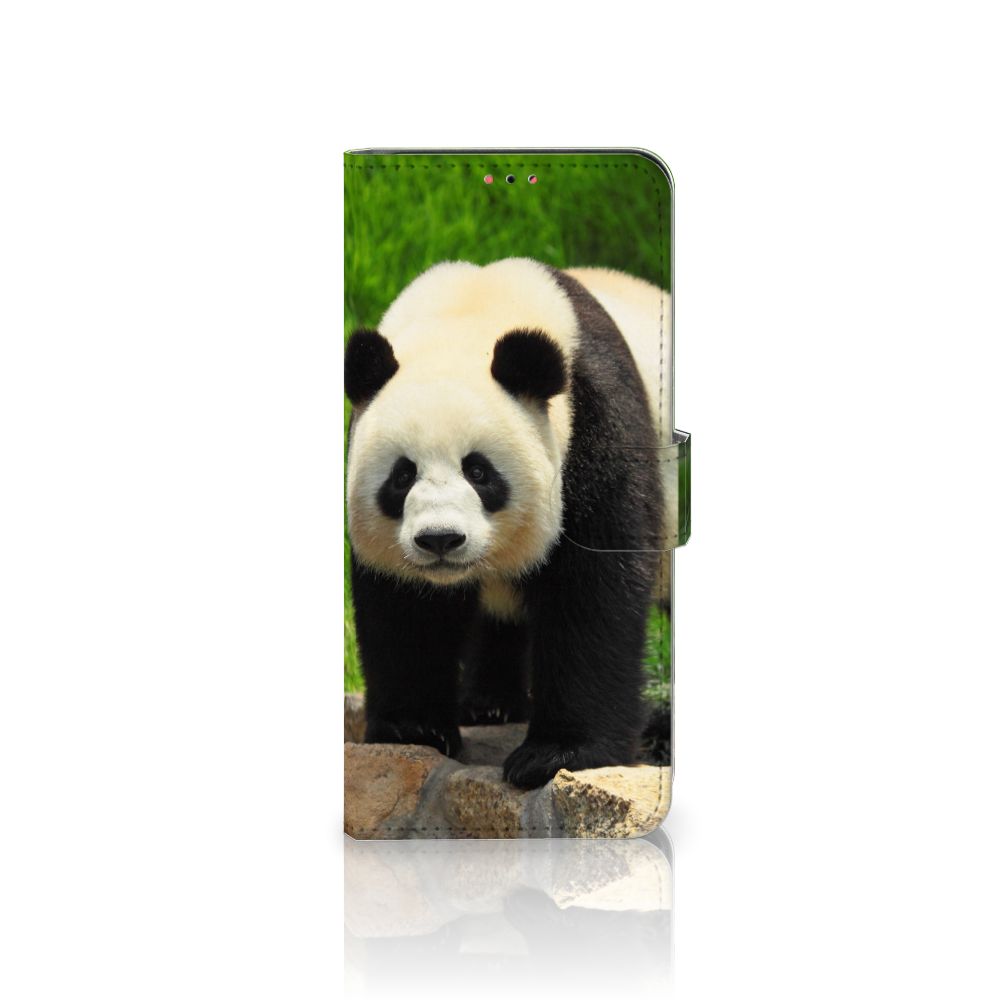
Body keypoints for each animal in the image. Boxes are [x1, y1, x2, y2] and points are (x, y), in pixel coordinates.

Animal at [345, 257, 672, 790]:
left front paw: (556, 754)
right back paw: (489, 704)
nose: (440, 539)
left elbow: (594, 590)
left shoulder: (595, 425)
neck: (470, 312)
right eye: (402, 475)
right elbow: (405, 607)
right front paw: (413, 729)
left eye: (479, 472)